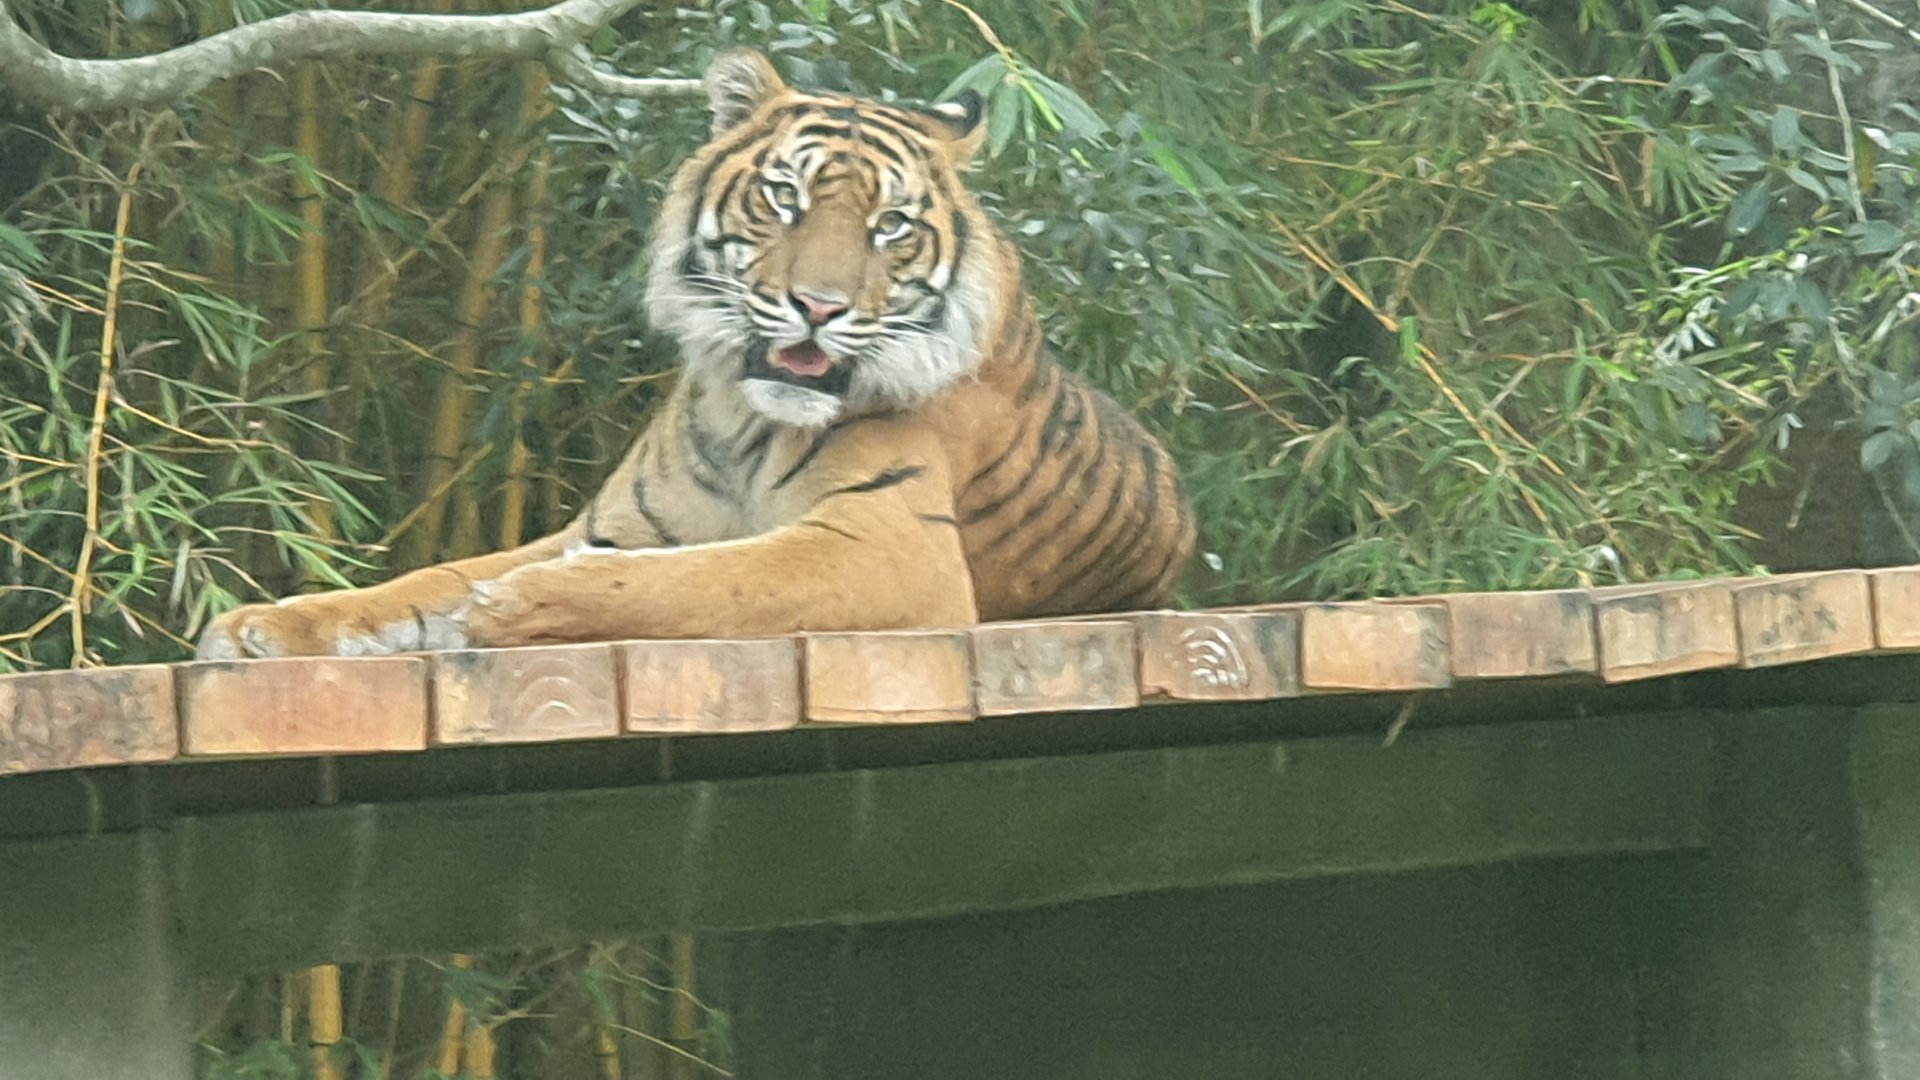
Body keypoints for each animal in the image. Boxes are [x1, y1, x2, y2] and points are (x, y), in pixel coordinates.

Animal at [195, 47, 1196, 660]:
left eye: (890, 226)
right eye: (786, 198)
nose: (818, 307)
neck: (742, 414)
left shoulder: (884, 547)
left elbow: (706, 581)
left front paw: (519, 607)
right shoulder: (605, 524)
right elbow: (424, 581)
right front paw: (261, 627)